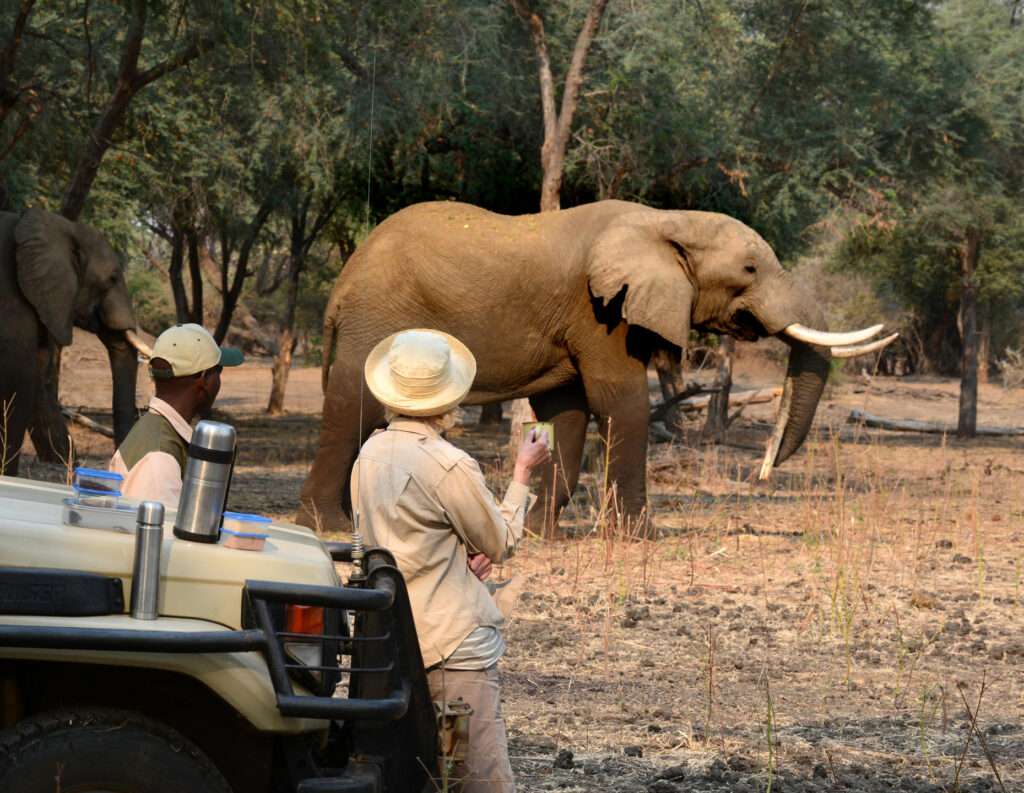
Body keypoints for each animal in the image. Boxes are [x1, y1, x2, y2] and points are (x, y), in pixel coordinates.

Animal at [294, 198, 888, 532]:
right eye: (749, 269)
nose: (764, 470)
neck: (663, 219)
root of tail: (343, 280)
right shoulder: (602, 312)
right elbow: (620, 402)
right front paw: (637, 538)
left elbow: (568, 414)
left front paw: (539, 535)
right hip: (378, 317)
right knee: (354, 404)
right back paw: (327, 527)